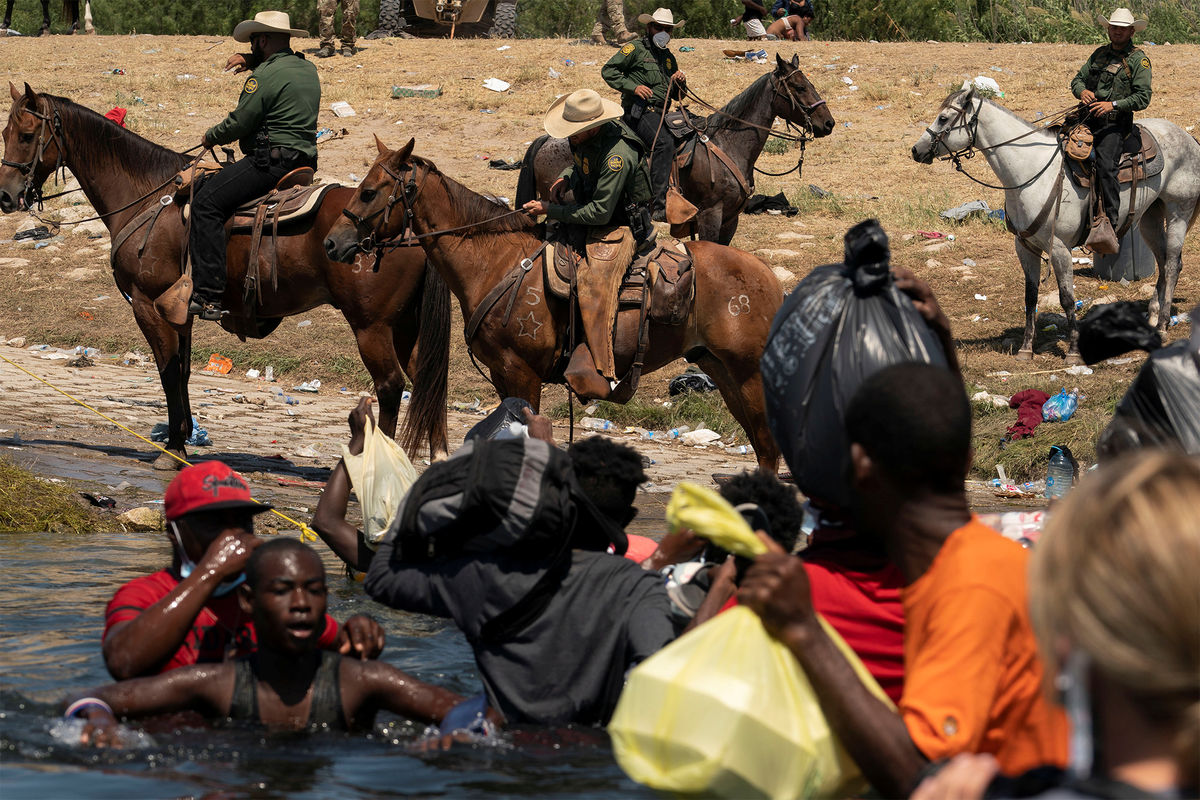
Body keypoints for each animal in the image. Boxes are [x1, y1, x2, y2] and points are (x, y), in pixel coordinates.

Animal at [0, 83, 451, 465]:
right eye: (6, 131)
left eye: (26, 135)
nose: (6, 195)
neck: (146, 195)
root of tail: (408, 222)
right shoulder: (180, 311)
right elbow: (182, 372)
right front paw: (181, 436)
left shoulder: (148, 305)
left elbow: (167, 373)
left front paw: (173, 449)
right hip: (405, 327)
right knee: (428, 383)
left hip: (372, 326)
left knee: (390, 387)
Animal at [324, 138, 787, 474]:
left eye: (368, 192)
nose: (331, 242)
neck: (495, 262)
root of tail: (768, 278)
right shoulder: (503, 376)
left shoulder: (522, 373)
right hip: (721, 370)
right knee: (763, 445)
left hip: (748, 374)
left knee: (768, 446)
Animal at [516, 54, 835, 245]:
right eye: (799, 86)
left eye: (809, 83)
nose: (828, 123)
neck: (728, 145)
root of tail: (546, 140)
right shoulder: (710, 215)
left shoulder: (730, 219)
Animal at [907, 85, 1200, 362]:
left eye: (944, 118)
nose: (916, 150)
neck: (1031, 173)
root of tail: (1190, 139)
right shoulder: (1024, 246)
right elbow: (1030, 297)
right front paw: (1026, 348)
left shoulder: (1060, 248)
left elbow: (1067, 298)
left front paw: (1073, 351)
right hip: (1150, 216)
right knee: (1165, 263)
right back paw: (1152, 317)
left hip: (1179, 211)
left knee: (1171, 265)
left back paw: (1162, 326)